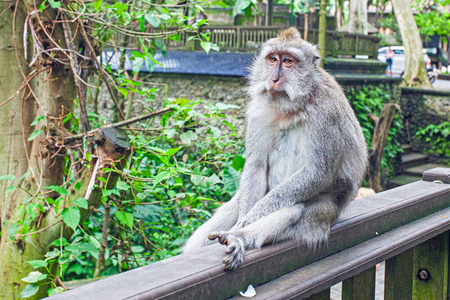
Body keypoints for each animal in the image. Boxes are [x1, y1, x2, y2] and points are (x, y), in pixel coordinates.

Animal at [183, 28, 370, 272]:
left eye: (288, 61)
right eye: (273, 59)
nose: (273, 79)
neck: (292, 105)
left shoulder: (326, 115)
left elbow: (316, 173)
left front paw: (245, 223)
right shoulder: (257, 111)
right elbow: (256, 165)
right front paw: (243, 216)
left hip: (325, 213)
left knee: (295, 209)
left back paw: (238, 237)